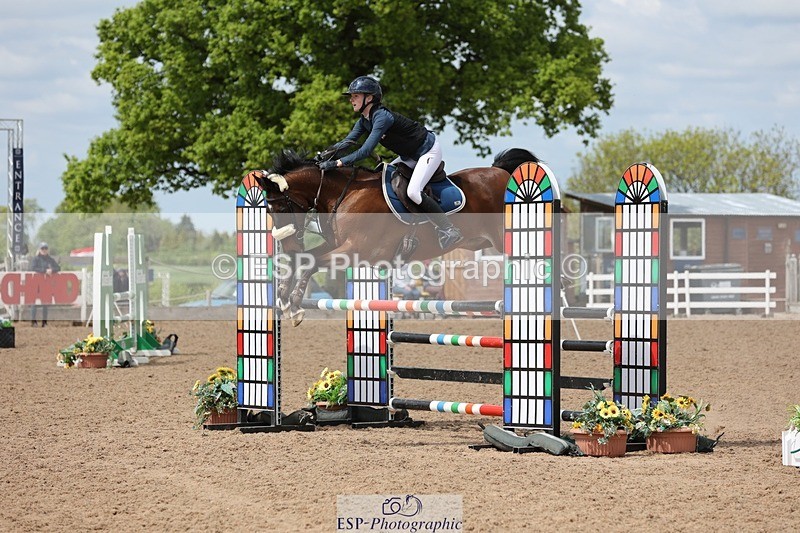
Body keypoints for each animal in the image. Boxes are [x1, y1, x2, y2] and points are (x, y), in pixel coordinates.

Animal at [249, 147, 539, 325]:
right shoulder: (337, 245)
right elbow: (304, 259)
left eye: (280, 208)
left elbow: (312, 263)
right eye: (268, 210)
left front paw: (296, 305)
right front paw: (284, 299)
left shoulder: (354, 250)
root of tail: (501, 172)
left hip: (503, 239)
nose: (288, 244)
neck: (346, 193)